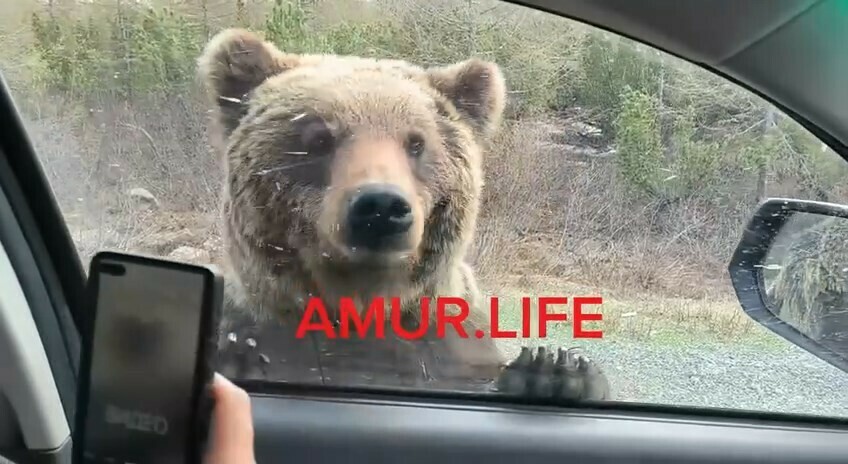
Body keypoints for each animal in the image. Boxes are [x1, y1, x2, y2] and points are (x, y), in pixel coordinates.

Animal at [196, 27, 611, 400]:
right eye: (319, 138)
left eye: (416, 142)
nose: (380, 207)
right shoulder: (259, 322)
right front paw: (236, 358)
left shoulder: (448, 344)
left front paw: (555, 371)